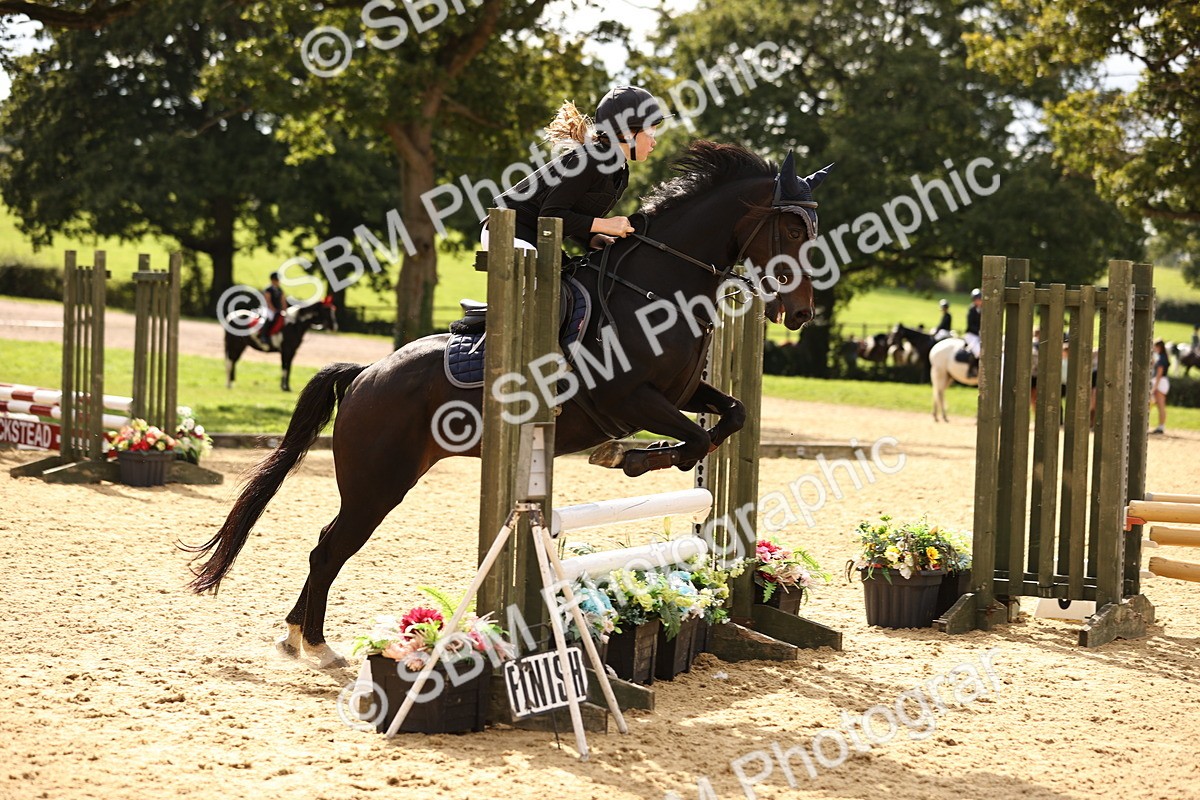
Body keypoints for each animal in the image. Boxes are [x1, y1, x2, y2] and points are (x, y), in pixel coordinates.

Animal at [183, 141, 833, 667]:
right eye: (792, 232)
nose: (801, 313)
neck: (660, 285)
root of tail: (367, 372)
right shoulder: (630, 398)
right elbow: (693, 439)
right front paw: (628, 459)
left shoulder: (681, 393)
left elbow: (731, 417)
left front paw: (640, 458)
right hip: (378, 482)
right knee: (330, 547)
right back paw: (315, 645)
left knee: (329, 544)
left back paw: (298, 635)